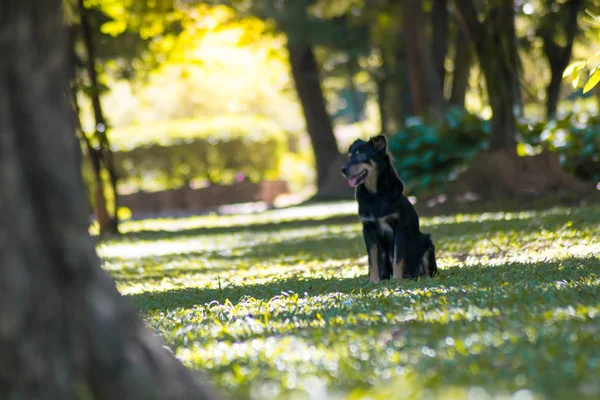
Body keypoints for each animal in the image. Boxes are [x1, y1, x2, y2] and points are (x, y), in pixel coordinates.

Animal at [342, 136, 436, 282]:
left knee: (426, 269)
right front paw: (373, 281)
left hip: (427, 242)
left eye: (361, 155)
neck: (375, 195)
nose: (343, 170)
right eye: (350, 157)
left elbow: (398, 258)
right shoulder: (367, 229)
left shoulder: (399, 227)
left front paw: (397, 280)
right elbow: (372, 260)